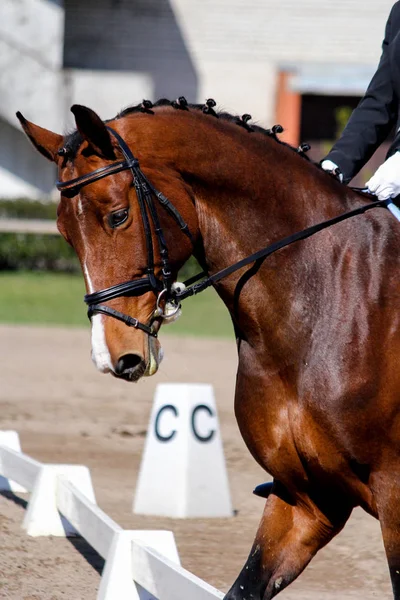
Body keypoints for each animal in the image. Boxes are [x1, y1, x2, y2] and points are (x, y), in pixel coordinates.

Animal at [17, 97, 400, 596]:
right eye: (64, 232)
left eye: (118, 215)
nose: (111, 355)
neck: (325, 301)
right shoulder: (307, 499)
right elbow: (245, 585)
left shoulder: (394, 501)